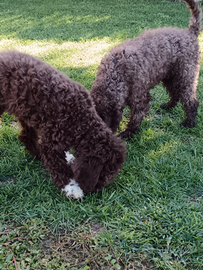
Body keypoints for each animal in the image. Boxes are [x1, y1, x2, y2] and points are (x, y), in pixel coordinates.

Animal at [0, 50, 126, 198]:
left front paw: (68, 157)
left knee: (25, 136)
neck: (80, 120)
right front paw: (71, 187)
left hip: (26, 113)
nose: (96, 191)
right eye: (102, 175)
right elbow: (59, 167)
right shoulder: (51, 141)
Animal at [91, 0, 201, 139]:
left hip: (185, 77)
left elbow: (136, 117)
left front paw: (128, 133)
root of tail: (190, 32)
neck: (117, 72)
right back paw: (169, 105)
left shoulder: (139, 98)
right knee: (175, 93)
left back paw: (189, 122)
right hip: (170, 76)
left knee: (191, 101)